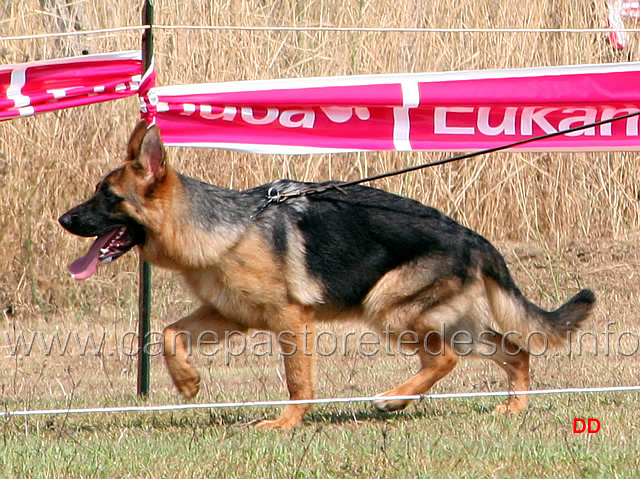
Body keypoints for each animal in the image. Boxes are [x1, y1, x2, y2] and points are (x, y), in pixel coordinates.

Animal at [60, 121, 596, 432]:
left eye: (108, 198)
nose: (64, 220)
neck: (224, 227)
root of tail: (473, 238)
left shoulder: (291, 321)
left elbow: (298, 381)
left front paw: (286, 423)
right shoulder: (229, 315)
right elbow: (168, 334)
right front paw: (188, 383)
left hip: (390, 309)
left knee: (445, 359)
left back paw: (392, 400)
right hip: (452, 321)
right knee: (515, 351)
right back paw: (513, 408)